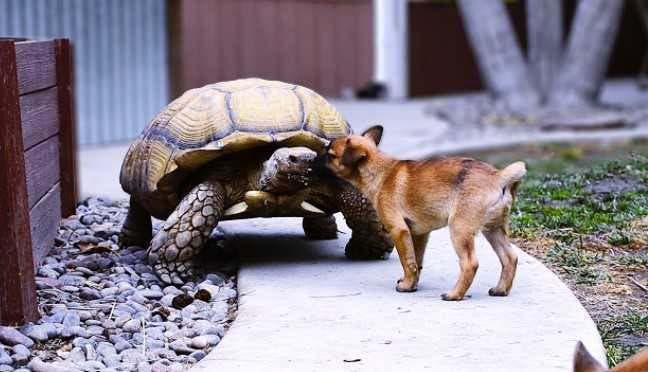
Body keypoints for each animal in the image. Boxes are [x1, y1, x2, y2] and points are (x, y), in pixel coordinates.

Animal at [324, 126, 528, 300]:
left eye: (331, 155)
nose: (319, 156)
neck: (380, 170)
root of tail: (498, 178)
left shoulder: (398, 231)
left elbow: (407, 261)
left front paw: (406, 285)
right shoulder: (418, 234)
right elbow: (416, 262)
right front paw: (412, 284)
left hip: (459, 230)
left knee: (470, 263)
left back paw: (454, 295)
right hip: (493, 230)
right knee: (509, 258)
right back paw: (500, 289)